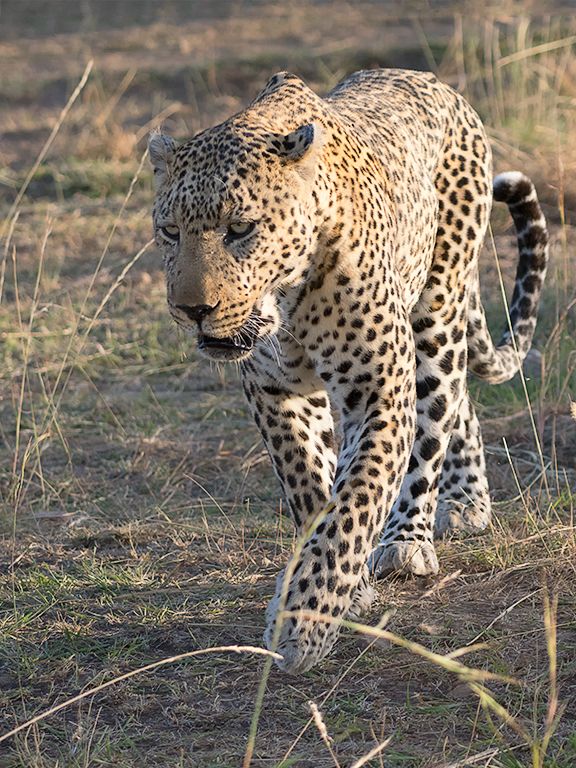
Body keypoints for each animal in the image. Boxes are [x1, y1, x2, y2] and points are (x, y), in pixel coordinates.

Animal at [149, 69, 549, 674]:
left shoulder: (377, 388)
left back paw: (416, 534)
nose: (192, 308)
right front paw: (343, 589)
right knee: (460, 403)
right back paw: (464, 500)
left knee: (437, 411)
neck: (285, 303)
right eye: (170, 231)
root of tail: (435, 83)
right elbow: (310, 487)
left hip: (437, 309)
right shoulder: (274, 391)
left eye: (240, 228)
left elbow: (357, 498)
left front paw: (305, 623)